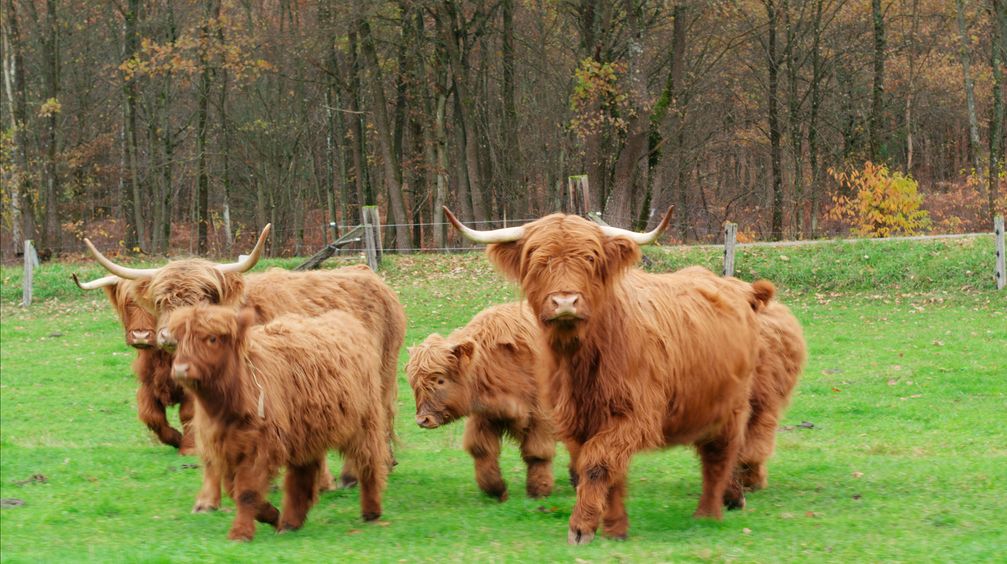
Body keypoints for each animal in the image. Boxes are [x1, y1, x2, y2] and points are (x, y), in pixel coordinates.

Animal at [73, 273, 194, 453]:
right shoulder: (148, 384)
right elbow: (151, 415)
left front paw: (189, 447)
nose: (140, 336)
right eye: (127, 303)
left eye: (154, 304)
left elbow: (188, 414)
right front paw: (176, 439)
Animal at [165, 304, 388, 543]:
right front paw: (272, 515)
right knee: (302, 475)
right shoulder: (226, 448)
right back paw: (290, 523)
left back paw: (371, 511)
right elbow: (235, 490)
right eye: (179, 340)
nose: (180, 369)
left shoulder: (258, 448)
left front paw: (240, 533)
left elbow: (247, 492)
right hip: (306, 434)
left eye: (212, 338)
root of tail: (345, 319)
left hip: (365, 422)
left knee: (368, 462)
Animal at [404, 302, 555, 499]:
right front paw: (496, 489)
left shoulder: (540, 415)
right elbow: (482, 450)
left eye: (440, 380)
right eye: (414, 383)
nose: (423, 420)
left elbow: (537, 452)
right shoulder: (484, 416)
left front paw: (539, 489)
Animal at [445, 208, 765, 547]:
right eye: (538, 260)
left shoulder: (633, 416)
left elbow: (597, 464)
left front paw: (580, 528)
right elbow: (606, 470)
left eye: (589, 258)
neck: (582, 360)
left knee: (720, 454)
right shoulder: (576, 422)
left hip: (731, 405)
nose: (565, 302)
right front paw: (614, 528)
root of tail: (736, 287)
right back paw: (731, 499)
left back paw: (710, 512)